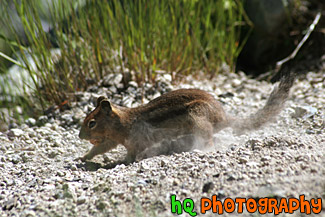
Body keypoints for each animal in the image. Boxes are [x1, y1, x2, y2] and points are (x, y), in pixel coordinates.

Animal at [78, 72, 294, 164]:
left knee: (209, 138)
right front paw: (84, 157)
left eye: (92, 123)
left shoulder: (135, 142)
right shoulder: (111, 140)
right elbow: (100, 148)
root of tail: (223, 116)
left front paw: (119, 162)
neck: (122, 123)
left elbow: (131, 155)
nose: (80, 136)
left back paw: (202, 148)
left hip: (197, 117)